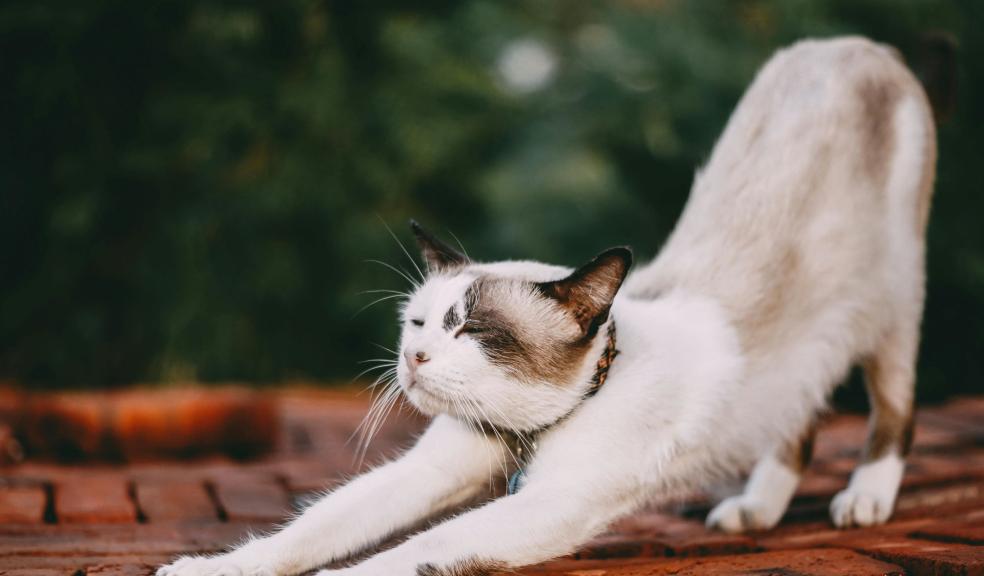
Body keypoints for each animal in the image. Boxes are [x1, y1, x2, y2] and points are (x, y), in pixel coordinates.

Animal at [160, 35, 936, 576]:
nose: (413, 358)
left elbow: (402, 554)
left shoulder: (548, 504)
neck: (526, 433)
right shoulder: (432, 472)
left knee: (893, 411)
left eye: (470, 329)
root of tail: (856, 46)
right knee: (798, 416)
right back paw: (752, 510)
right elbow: (306, 532)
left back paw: (864, 499)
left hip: (890, 309)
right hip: (814, 354)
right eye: (418, 324)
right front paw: (206, 567)